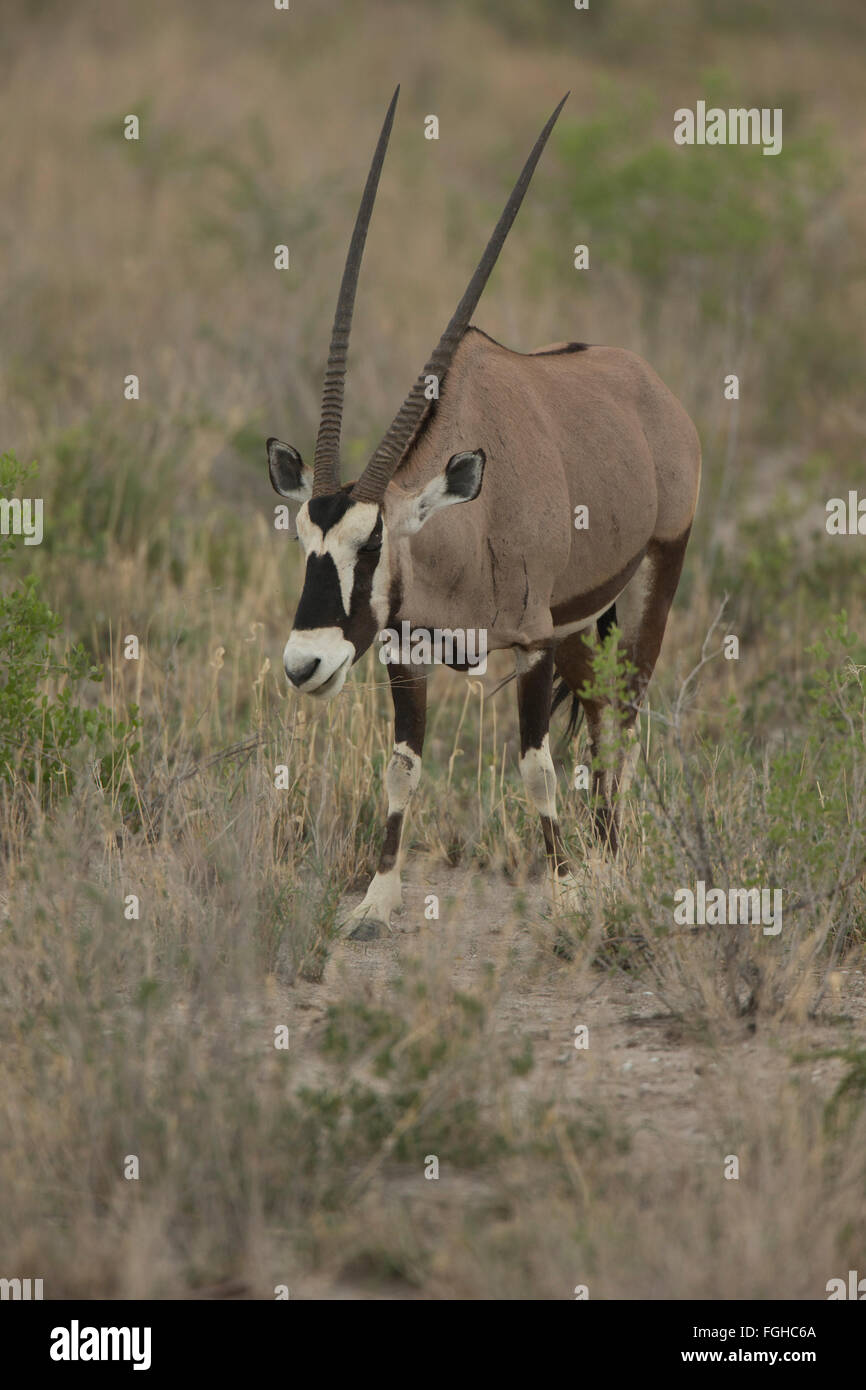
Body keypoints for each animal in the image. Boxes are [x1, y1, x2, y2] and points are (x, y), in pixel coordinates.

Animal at [268, 86, 700, 934]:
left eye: (373, 546)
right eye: (305, 539)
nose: (306, 664)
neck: (463, 524)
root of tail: (652, 388)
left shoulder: (530, 646)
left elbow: (534, 768)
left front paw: (566, 893)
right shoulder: (406, 653)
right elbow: (402, 767)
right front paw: (376, 899)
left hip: (650, 584)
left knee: (624, 722)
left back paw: (612, 864)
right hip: (582, 625)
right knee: (599, 723)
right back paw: (606, 858)